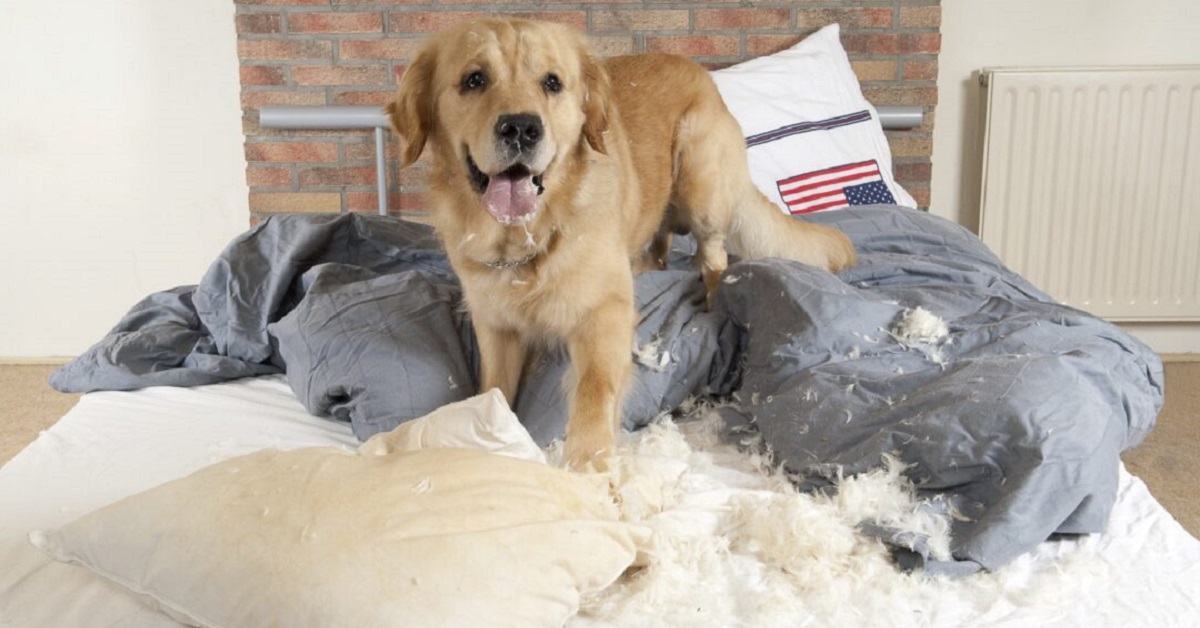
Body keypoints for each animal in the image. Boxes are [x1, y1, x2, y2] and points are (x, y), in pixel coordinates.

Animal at [384, 17, 854, 470]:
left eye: (552, 82)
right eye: (474, 79)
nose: (521, 128)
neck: (527, 239)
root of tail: (700, 72)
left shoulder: (604, 314)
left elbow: (594, 390)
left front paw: (589, 462)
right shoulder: (497, 327)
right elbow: (494, 388)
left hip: (701, 184)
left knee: (713, 258)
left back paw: (713, 301)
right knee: (660, 248)